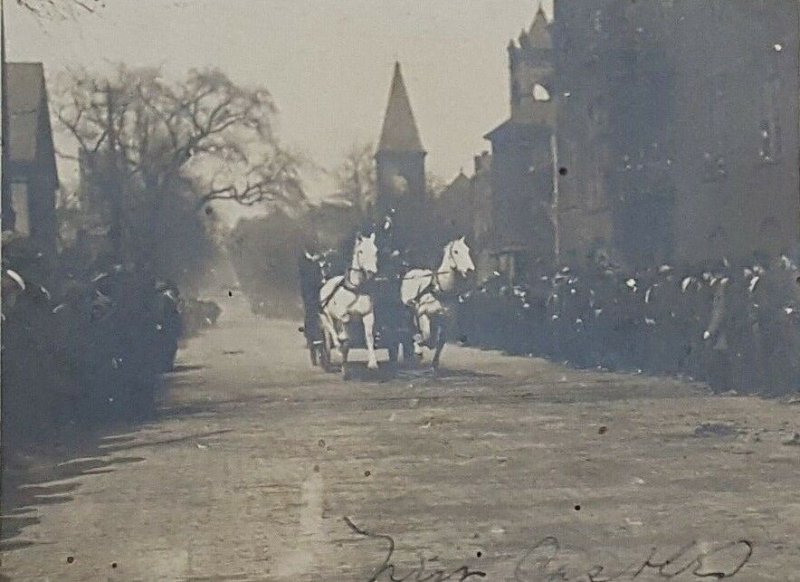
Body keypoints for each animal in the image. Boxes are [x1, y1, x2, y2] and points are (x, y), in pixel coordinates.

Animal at [318, 234, 382, 378]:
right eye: (361, 251)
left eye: (376, 251)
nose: (372, 271)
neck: (356, 288)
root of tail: (327, 282)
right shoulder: (343, 315)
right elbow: (344, 336)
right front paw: (341, 345)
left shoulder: (368, 315)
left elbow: (368, 337)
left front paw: (372, 364)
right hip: (325, 316)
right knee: (330, 330)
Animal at [400, 237, 476, 370]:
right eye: (456, 251)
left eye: (467, 250)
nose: (470, 270)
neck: (440, 290)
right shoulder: (423, 313)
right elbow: (426, 335)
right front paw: (419, 343)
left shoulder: (446, 319)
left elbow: (440, 341)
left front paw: (434, 363)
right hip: (409, 311)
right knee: (411, 327)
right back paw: (417, 347)